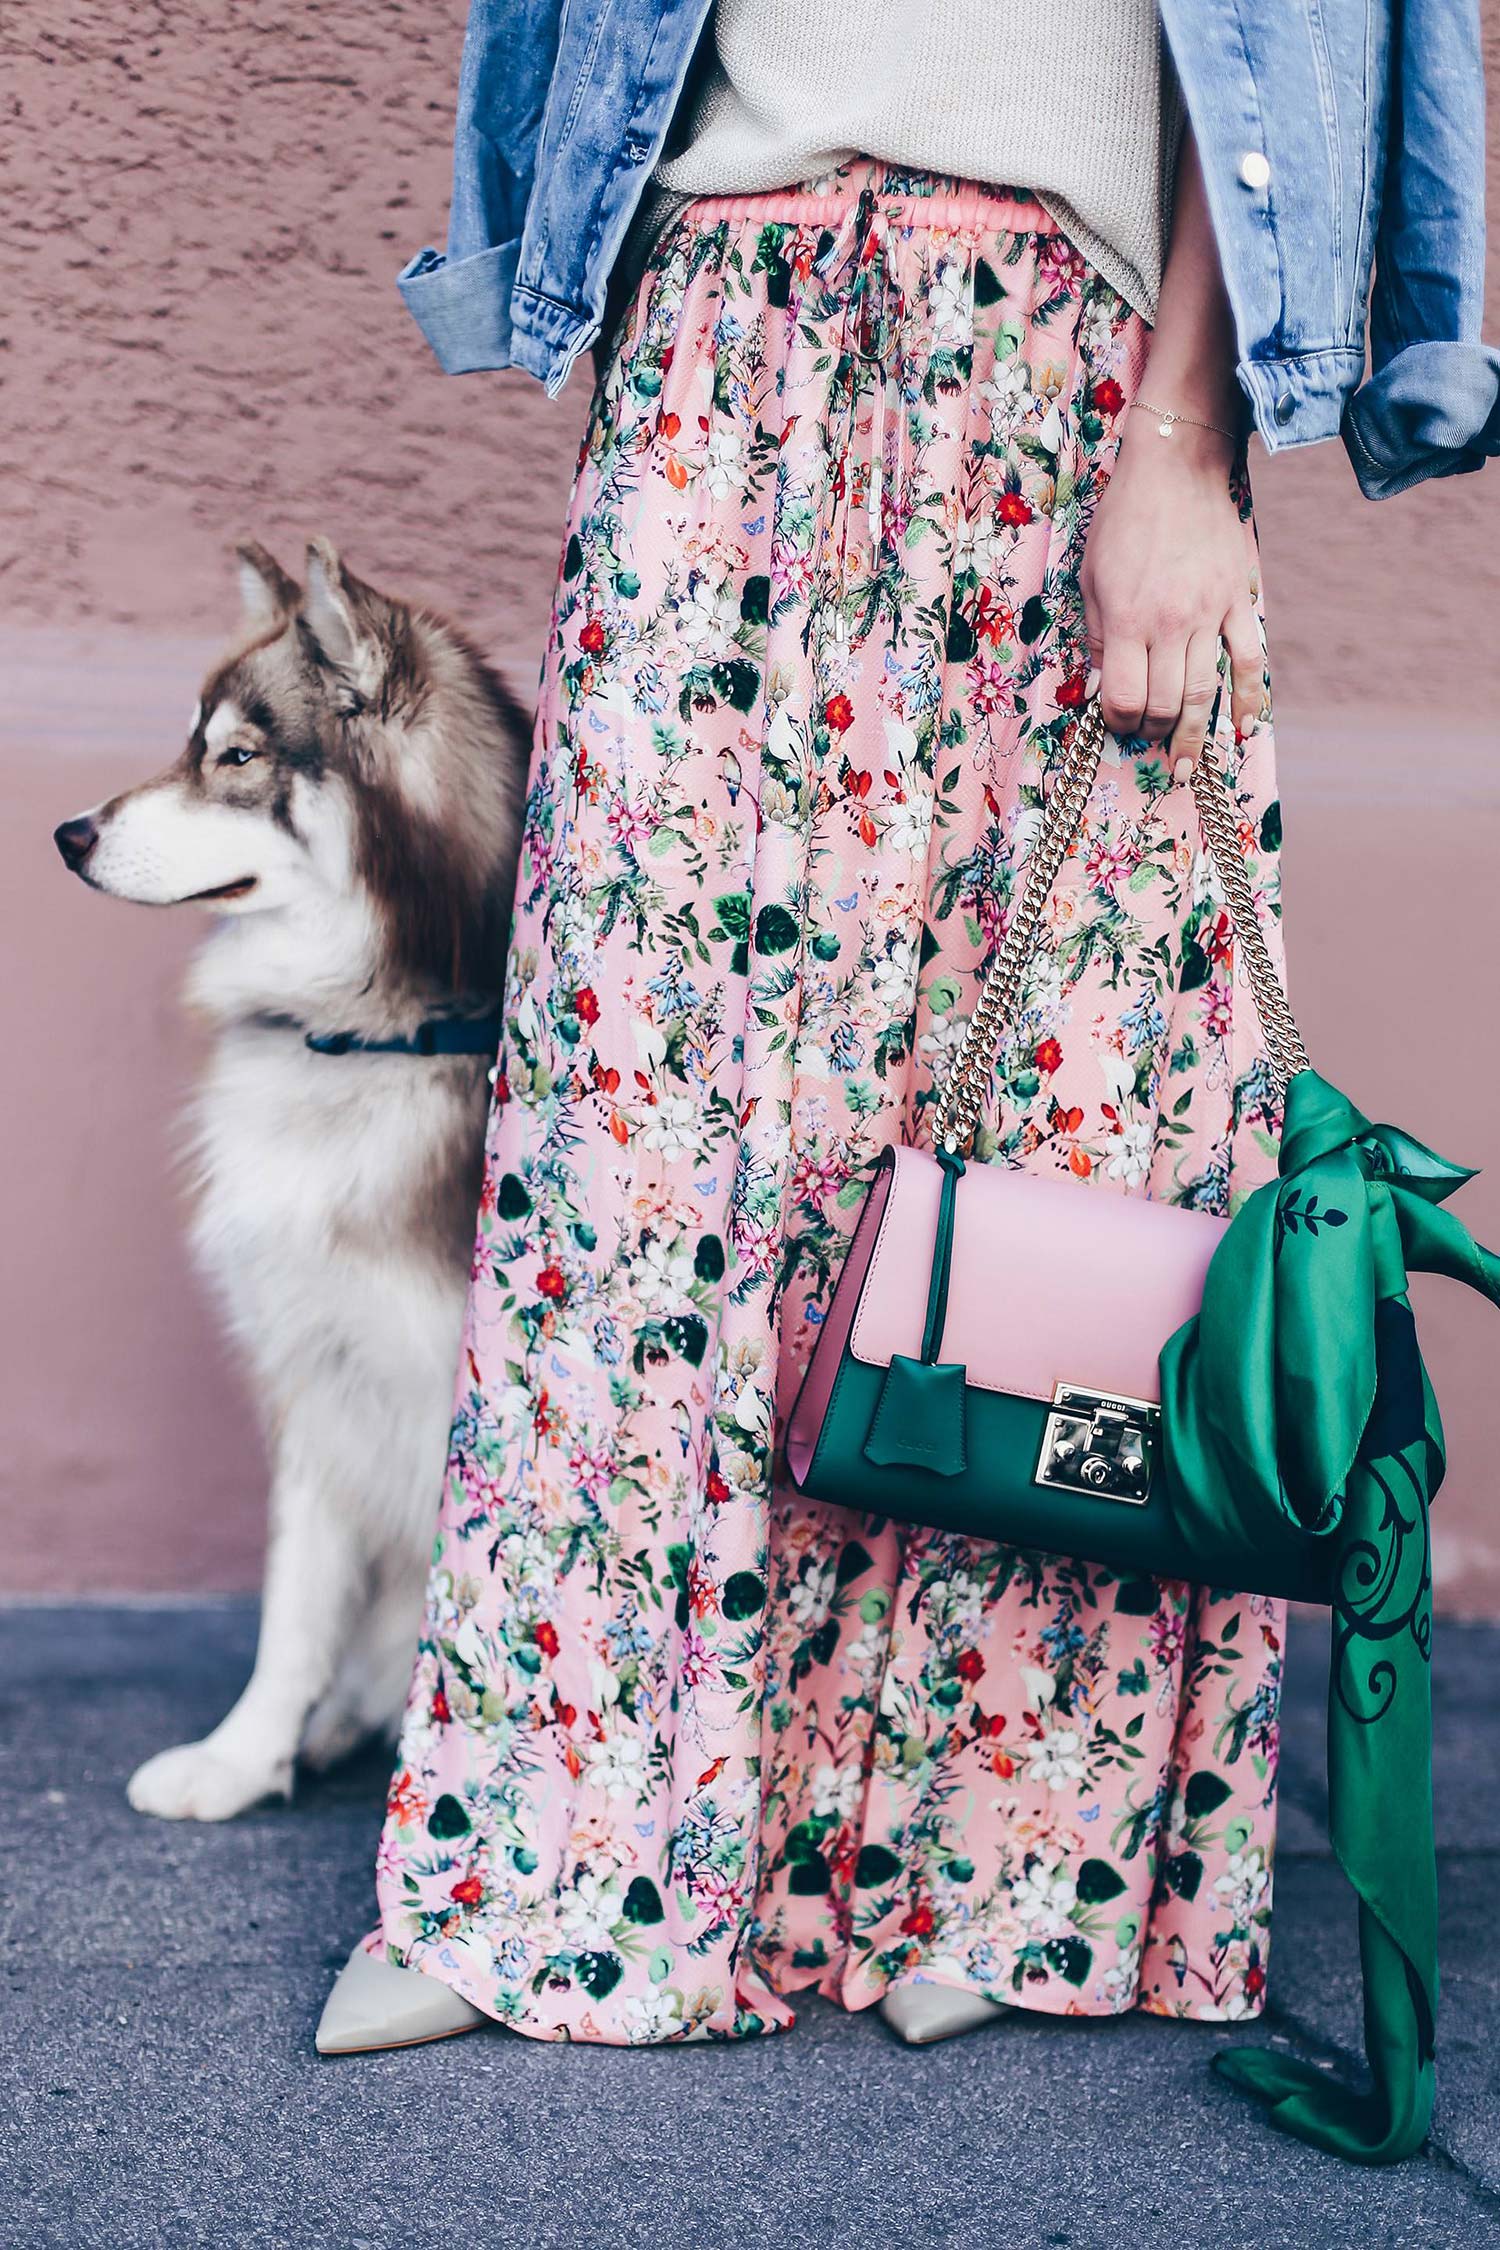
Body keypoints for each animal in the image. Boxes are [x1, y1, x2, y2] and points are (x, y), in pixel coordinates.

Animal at [52, 544, 530, 1827]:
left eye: (237, 756)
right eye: (190, 742)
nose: (68, 833)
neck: (368, 1040)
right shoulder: (322, 1370)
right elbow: (297, 1602)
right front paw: (245, 1753)